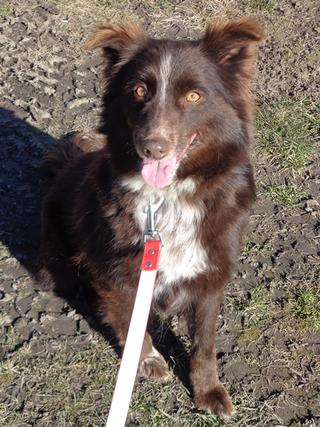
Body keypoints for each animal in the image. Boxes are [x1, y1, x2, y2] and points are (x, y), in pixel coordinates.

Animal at [38, 17, 262, 418]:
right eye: (139, 90)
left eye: (194, 96)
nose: (152, 148)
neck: (168, 198)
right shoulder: (118, 273)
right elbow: (131, 322)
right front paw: (146, 360)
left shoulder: (211, 272)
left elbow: (204, 344)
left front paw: (209, 391)